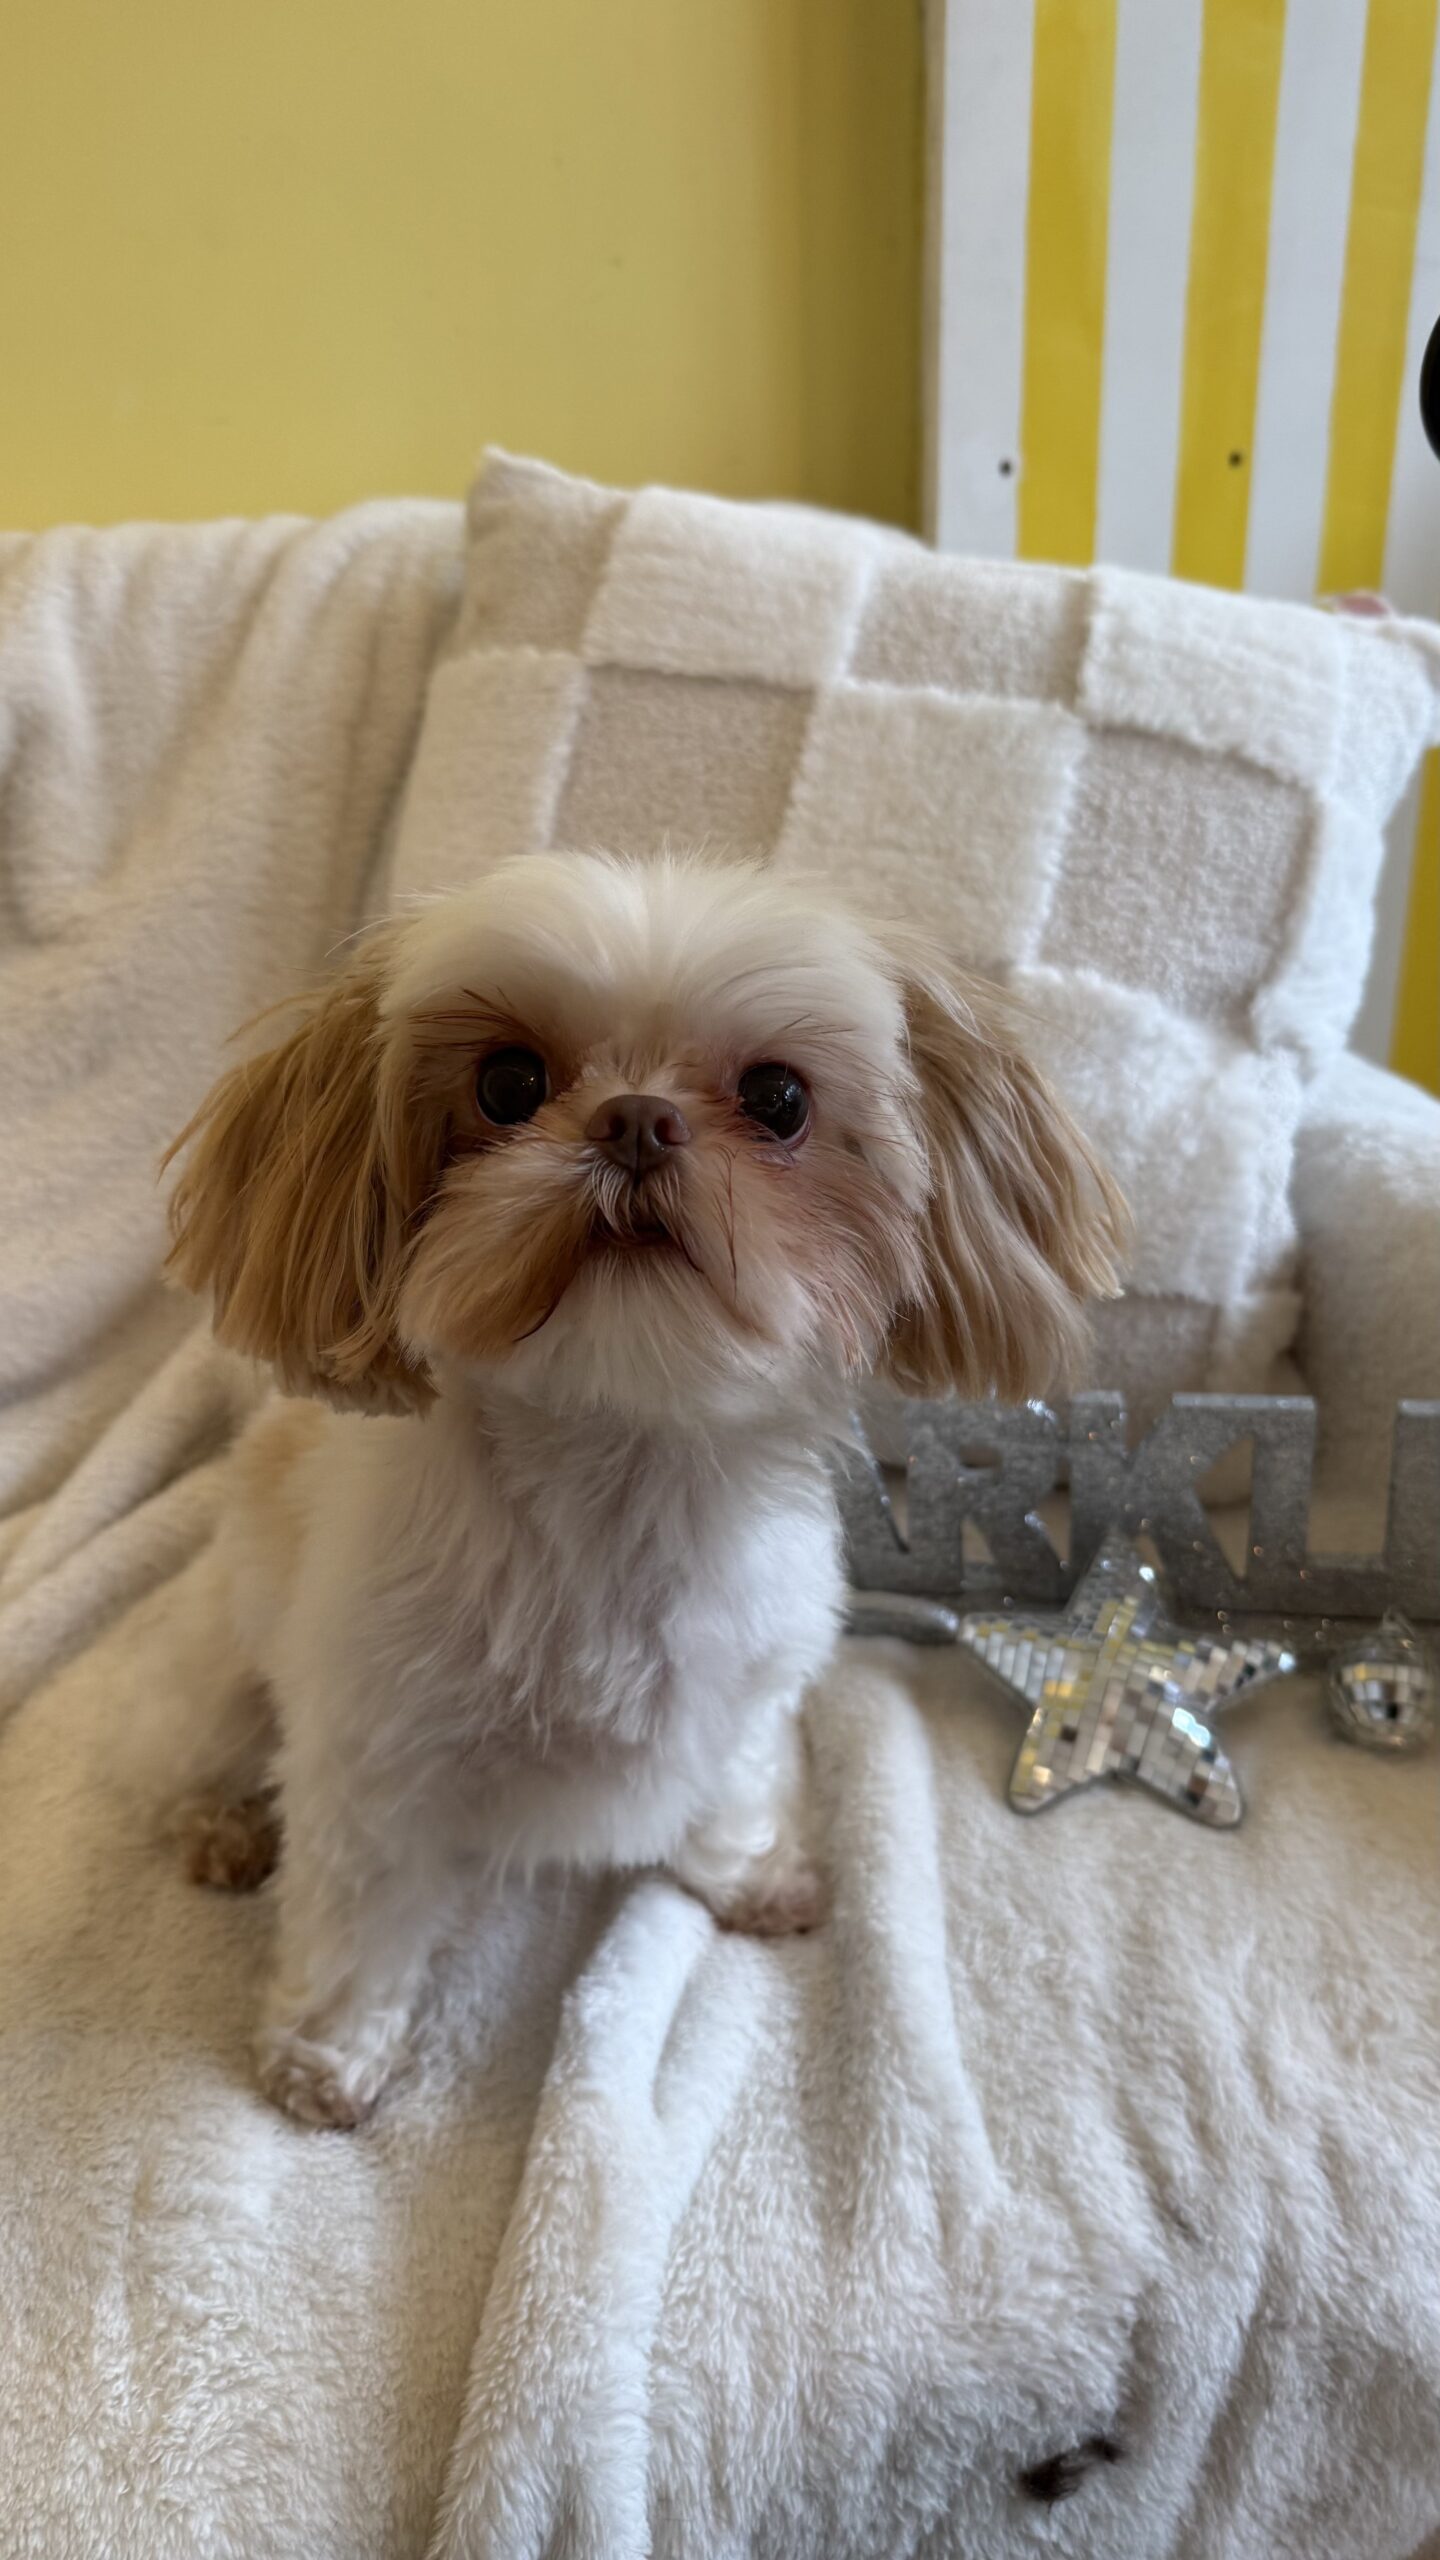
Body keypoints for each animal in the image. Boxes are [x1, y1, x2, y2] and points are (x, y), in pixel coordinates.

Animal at [155, 850, 1121, 2127]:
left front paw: (746, 1873)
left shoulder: (743, 1683)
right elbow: (361, 1923)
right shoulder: (379, 1753)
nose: (635, 1120)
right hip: (223, 1656)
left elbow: (728, 1788)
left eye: (778, 1098)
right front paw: (331, 2053)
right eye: (509, 1082)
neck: (624, 1472)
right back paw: (219, 1823)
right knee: (204, 1739)